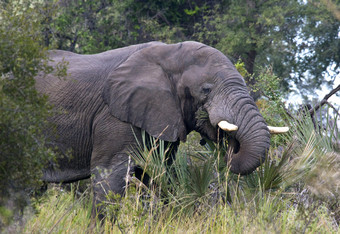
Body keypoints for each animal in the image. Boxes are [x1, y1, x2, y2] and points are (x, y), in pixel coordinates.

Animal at [35, 40, 288, 218]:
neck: (170, 54)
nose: (229, 143)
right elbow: (109, 179)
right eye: (206, 90)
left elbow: (155, 176)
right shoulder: (114, 116)